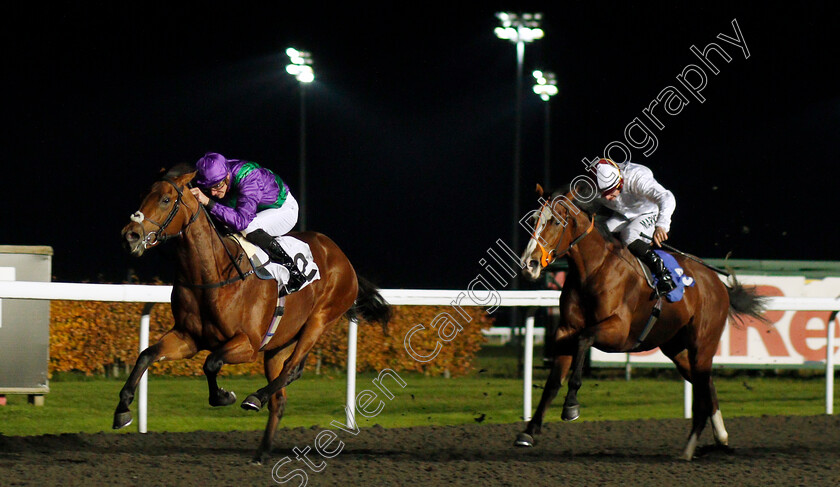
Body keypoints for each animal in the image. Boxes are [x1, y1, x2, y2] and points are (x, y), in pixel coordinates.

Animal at [113, 165, 392, 466]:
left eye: (165, 199)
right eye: (144, 195)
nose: (129, 235)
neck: (212, 274)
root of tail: (342, 257)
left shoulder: (248, 343)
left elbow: (211, 362)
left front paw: (224, 396)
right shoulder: (187, 338)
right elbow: (147, 355)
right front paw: (122, 410)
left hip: (319, 321)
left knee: (292, 368)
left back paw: (256, 397)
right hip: (278, 344)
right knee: (280, 396)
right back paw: (261, 451)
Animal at [516, 183, 764, 462]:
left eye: (556, 222)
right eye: (533, 220)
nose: (528, 265)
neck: (594, 269)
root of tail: (718, 284)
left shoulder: (618, 332)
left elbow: (583, 339)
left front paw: (571, 405)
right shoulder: (564, 331)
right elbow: (552, 383)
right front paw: (529, 431)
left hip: (702, 344)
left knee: (703, 388)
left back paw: (690, 447)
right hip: (677, 349)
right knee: (707, 386)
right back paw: (720, 438)